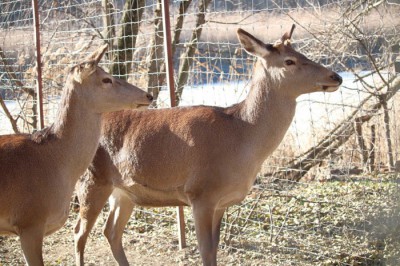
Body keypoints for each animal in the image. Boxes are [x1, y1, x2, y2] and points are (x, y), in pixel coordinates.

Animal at [73, 25, 342, 266]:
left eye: (301, 53)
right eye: (289, 61)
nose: (336, 76)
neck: (242, 138)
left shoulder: (221, 201)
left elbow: (215, 249)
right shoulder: (200, 192)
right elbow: (205, 250)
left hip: (123, 192)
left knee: (110, 231)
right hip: (91, 181)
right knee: (79, 233)